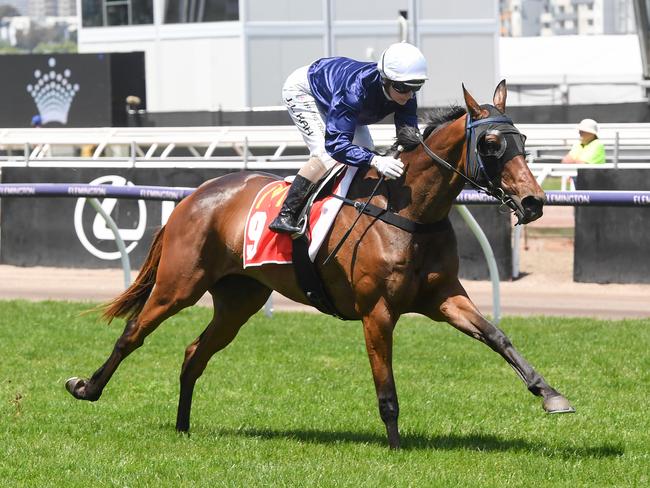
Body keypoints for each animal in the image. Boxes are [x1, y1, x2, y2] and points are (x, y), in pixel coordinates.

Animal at [66, 81, 572, 450]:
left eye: (523, 139)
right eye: (491, 143)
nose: (534, 201)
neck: (410, 212)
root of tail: (195, 195)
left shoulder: (443, 296)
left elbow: (498, 337)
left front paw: (550, 394)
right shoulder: (376, 312)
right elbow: (386, 388)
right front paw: (396, 448)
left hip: (239, 300)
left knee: (195, 352)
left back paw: (183, 426)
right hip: (179, 284)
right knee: (133, 332)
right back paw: (86, 387)